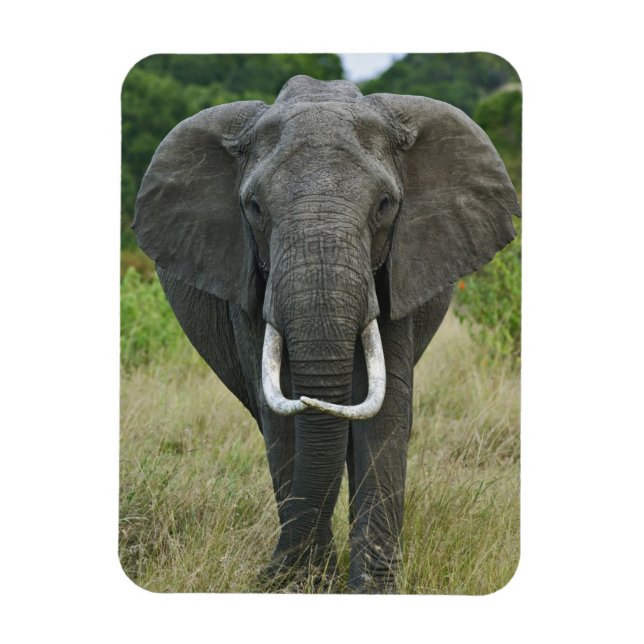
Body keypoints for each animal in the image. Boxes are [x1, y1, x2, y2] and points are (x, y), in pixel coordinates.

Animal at [133, 74, 520, 593]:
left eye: (385, 205)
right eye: (254, 207)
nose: (268, 572)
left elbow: (388, 409)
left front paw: (371, 590)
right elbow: (281, 411)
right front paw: (304, 583)